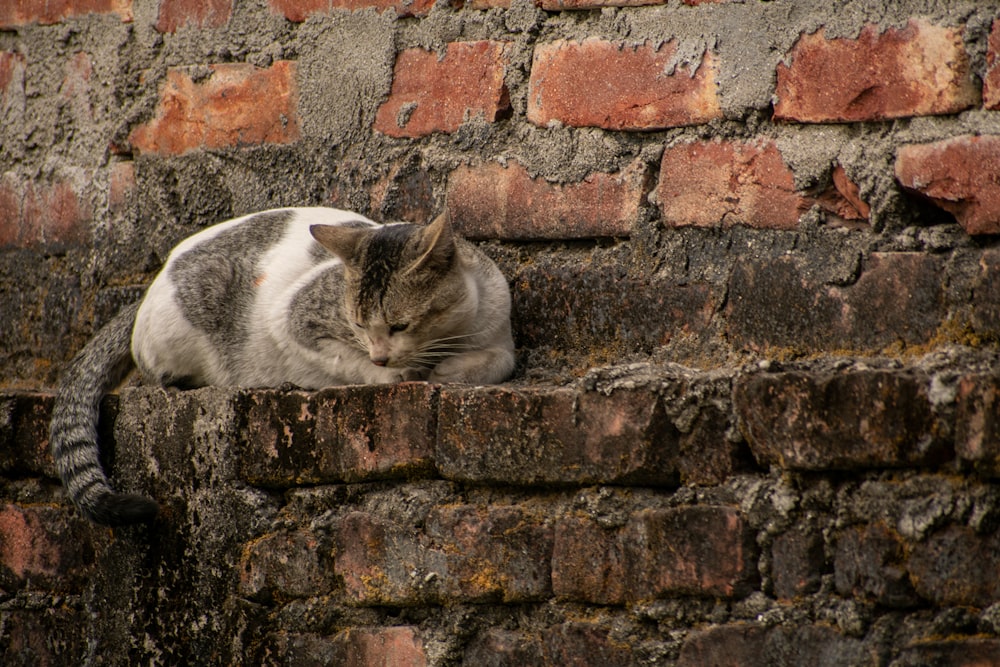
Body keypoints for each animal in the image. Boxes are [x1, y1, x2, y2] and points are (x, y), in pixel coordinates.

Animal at [47, 209, 516, 528]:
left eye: (400, 325)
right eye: (359, 324)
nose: (381, 355)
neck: (448, 336)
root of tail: (150, 284)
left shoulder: (499, 332)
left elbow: (499, 361)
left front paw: (448, 370)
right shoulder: (294, 318)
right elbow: (347, 361)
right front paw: (393, 373)